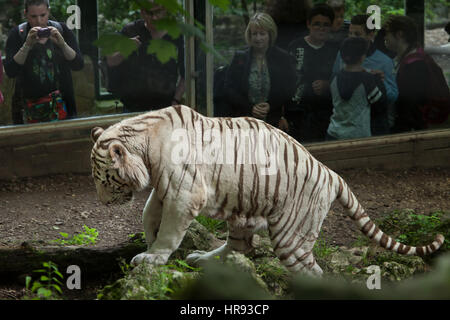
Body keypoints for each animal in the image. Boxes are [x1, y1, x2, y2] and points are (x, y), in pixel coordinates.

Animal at [89, 104, 444, 276]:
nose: (103, 204)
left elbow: (168, 231)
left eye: (106, 181)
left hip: (292, 236)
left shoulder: (184, 193)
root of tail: (331, 174)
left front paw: (152, 257)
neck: (146, 145)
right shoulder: (164, 189)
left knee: (312, 271)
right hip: (242, 211)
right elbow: (149, 215)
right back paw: (204, 258)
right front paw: (148, 244)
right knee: (239, 248)